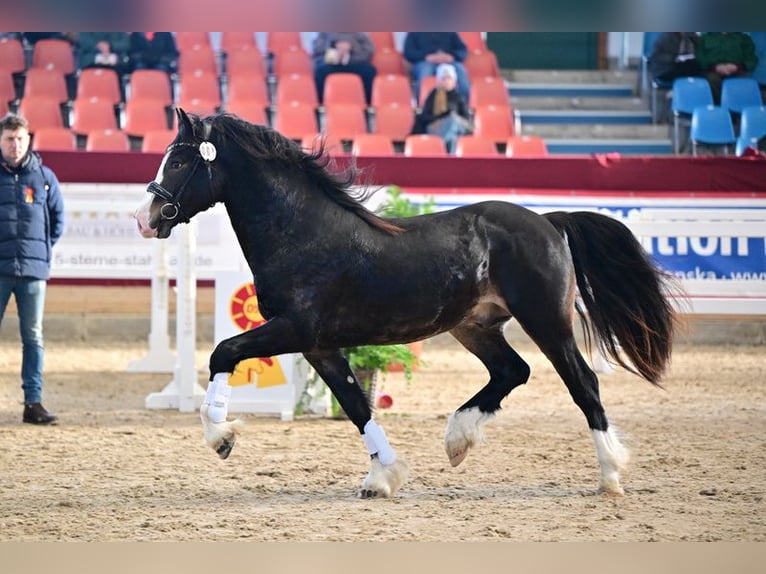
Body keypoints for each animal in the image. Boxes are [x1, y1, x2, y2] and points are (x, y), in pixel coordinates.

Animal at [136, 111, 680, 500]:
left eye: (179, 162)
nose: (146, 218)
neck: (302, 232)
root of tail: (548, 221)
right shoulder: (320, 346)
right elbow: (356, 404)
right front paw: (383, 477)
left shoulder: (296, 329)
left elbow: (223, 352)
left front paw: (222, 437)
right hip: (474, 326)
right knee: (513, 371)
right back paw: (458, 440)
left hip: (546, 320)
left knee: (582, 383)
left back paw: (610, 475)